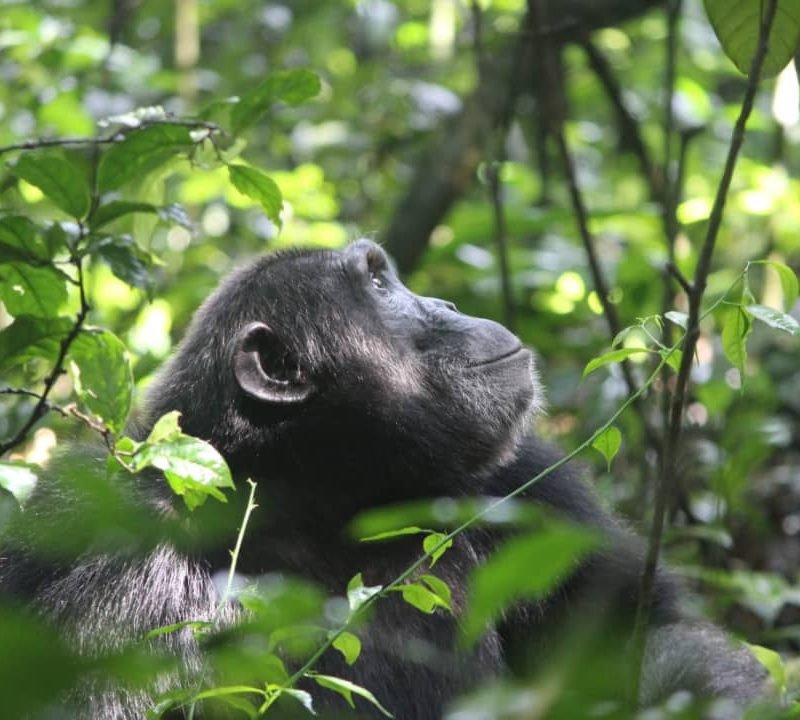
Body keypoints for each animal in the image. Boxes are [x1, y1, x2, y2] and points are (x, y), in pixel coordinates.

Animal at [0, 242, 764, 720]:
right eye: (376, 284)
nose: (446, 301)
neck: (323, 498)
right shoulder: (91, 544)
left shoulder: (530, 485)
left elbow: (644, 641)